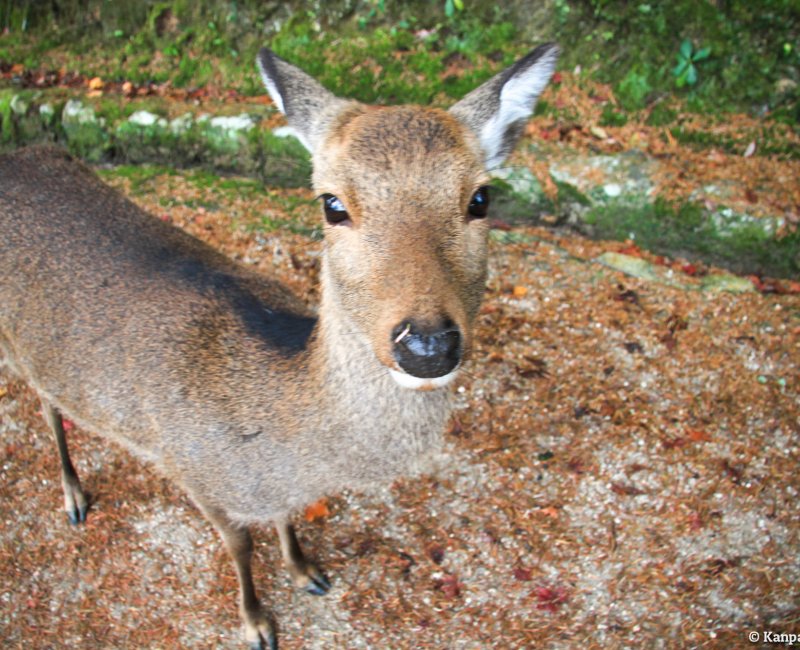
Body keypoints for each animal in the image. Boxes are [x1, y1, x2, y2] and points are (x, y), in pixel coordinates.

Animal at [0, 43, 558, 648]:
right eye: (332, 204)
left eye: (481, 197)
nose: (427, 344)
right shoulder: (194, 471)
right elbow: (240, 544)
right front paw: (257, 622)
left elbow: (285, 518)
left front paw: (306, 570)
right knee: (44, 405)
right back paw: (74, 497)